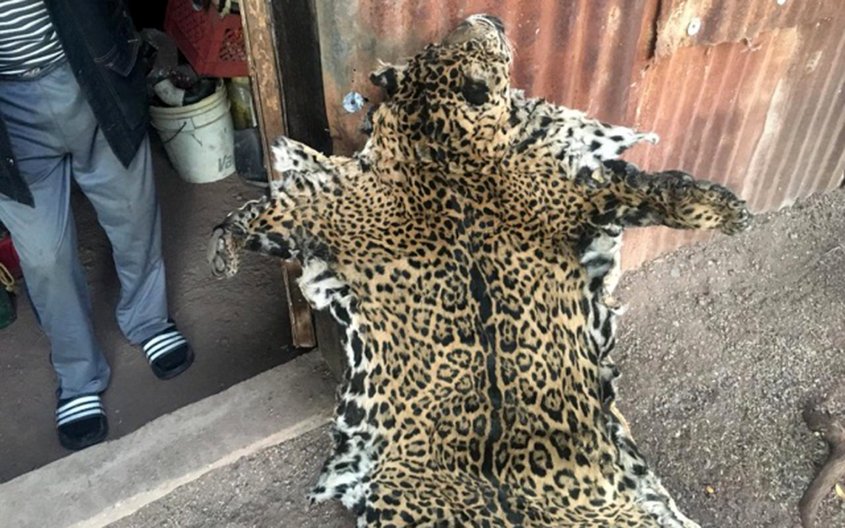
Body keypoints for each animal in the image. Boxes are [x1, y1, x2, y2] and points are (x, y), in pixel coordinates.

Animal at [208, 14, 751, 527]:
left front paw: (724, 209)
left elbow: (654, 188)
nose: (486, 17)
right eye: (467, 44)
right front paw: (223, 251)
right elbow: (269, 213)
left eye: (440, 44)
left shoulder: (576, 190)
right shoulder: (335, 205)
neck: (446, 147)